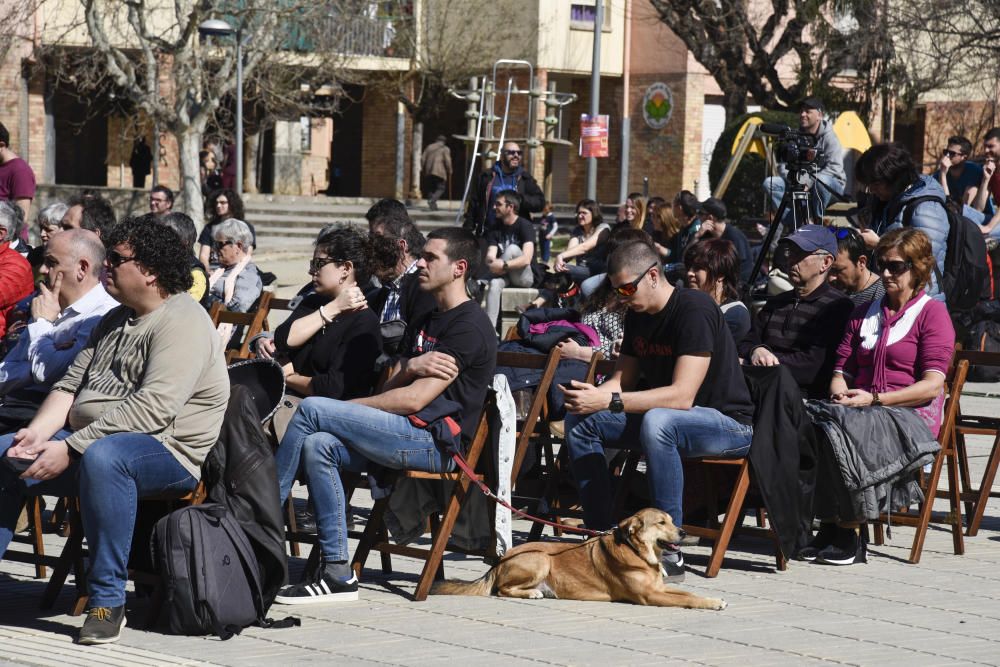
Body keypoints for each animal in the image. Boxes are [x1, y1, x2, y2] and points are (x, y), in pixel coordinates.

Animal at [430, 506, 728, 612]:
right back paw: (532, 593)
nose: (683, 531)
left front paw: (714, 599)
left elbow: (688, 594)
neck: (637, 552)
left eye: (671, 519)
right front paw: (711, 604)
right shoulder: (650, 596)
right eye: (661, 522)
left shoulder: (659, 589)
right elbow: (688, 600)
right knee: (501, 589)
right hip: (540, 559)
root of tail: (500, 560)